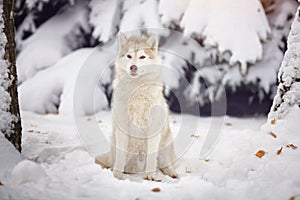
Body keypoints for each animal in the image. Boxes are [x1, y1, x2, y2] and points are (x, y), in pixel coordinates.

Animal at [95, 32, 177, 180]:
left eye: (142, 57)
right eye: (129, 56)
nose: (133, 67)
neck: (136, 91)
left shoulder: (153, 130)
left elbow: (151, 157)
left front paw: (149, 176)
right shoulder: (123, 128)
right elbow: (120, 157)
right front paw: (117, 176)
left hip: (165, 145)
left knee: (165, 164)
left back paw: (171, 173)